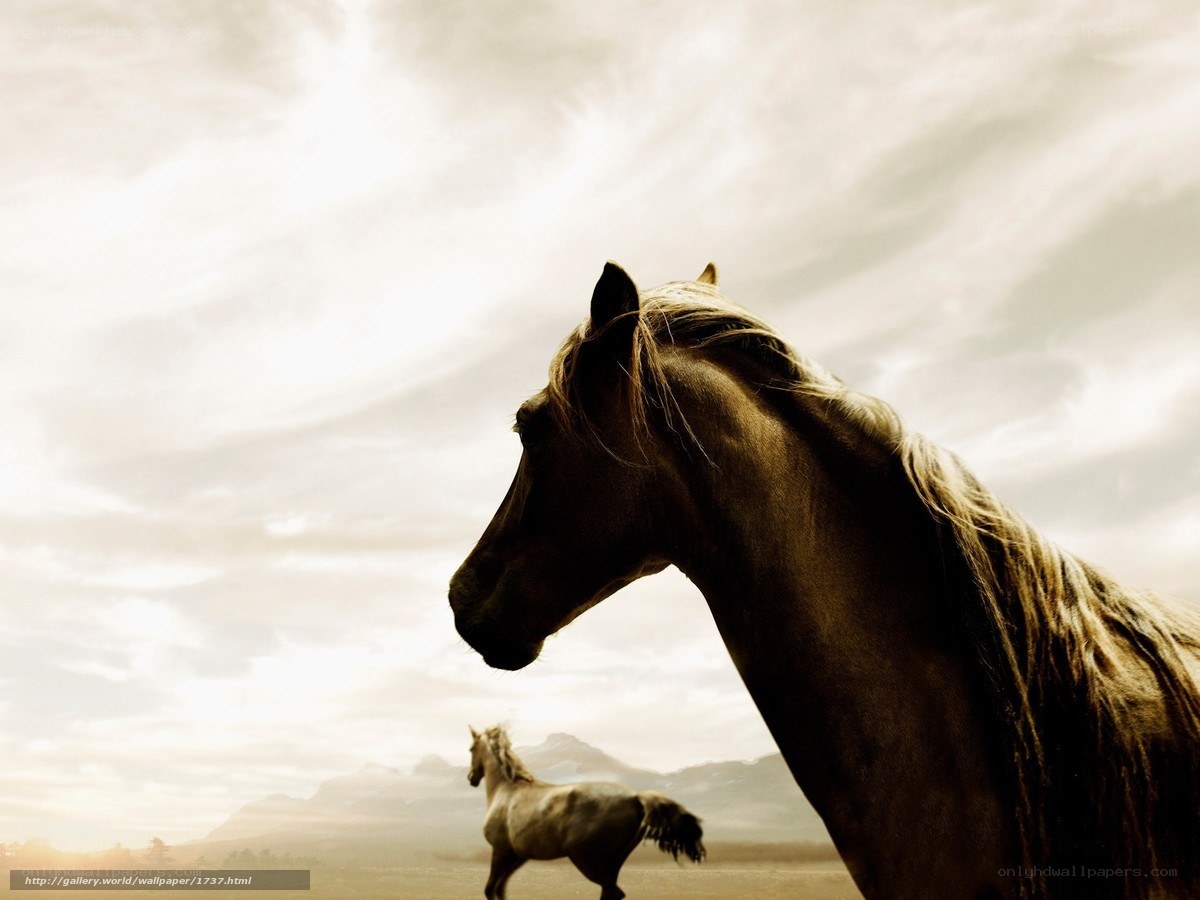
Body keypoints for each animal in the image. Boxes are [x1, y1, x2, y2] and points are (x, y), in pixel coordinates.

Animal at [466, 724, 704, 899]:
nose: (471, 778)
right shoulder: (517, 855)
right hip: (612, 862)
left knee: (614, 892)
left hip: (585, 859)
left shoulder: (500, 851)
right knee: (610, 892)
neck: (506, 790)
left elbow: (490, 890)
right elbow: (500, 890)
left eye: (471, 749)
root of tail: (636, 797)